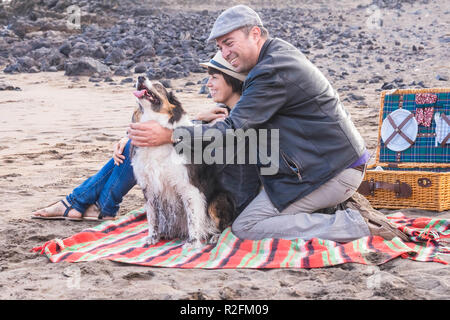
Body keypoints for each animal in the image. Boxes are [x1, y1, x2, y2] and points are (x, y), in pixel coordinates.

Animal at [129, 76, 236, 249]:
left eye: (158, 85)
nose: (140, 77)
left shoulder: (189, 187)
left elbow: (192, 217)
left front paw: (192, 242)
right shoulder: (149, 187)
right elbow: (152, 216)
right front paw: (153, 237)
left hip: (217, 199)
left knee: (225, 225)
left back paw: (214, 237)